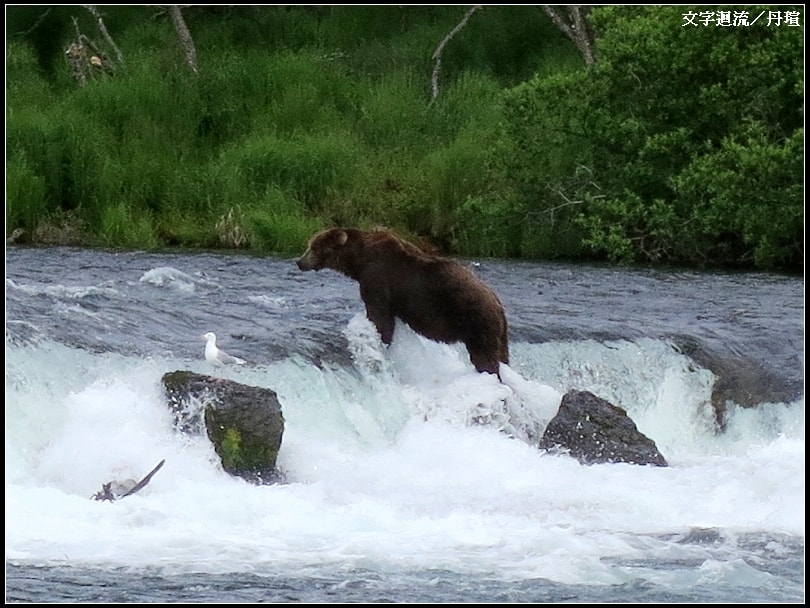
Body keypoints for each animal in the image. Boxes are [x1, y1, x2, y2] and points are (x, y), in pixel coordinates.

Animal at [296, 227, 509, 377]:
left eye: (314, 247)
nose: (299, 262)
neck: (360, 261)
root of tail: (497, 302)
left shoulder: (377, 277)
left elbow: (380, 315)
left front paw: (380, 337)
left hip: (476, 320)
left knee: (484, 356)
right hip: (499, 332)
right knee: (502, 354)